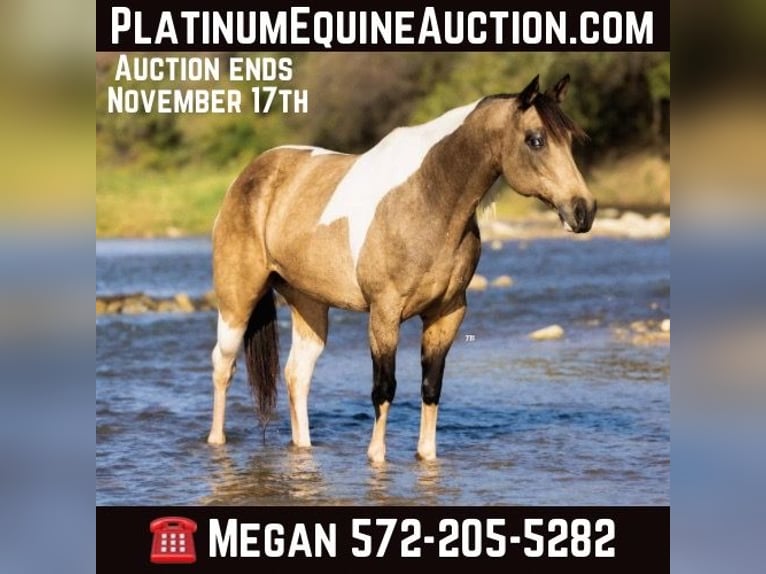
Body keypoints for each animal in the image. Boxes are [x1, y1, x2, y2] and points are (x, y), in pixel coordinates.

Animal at [206, 74, 596, 463]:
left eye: (570, 139)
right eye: (535, 140)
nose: (583, 210)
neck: (427, 198)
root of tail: (250, 174)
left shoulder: (447, 313)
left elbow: (431, 387)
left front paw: (427, 455)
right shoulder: (384, 313)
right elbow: (384, 388)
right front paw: (376, 456)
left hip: (309, 304)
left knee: (296, 375)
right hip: (238, 300)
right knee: (223, 364)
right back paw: (216, 440)